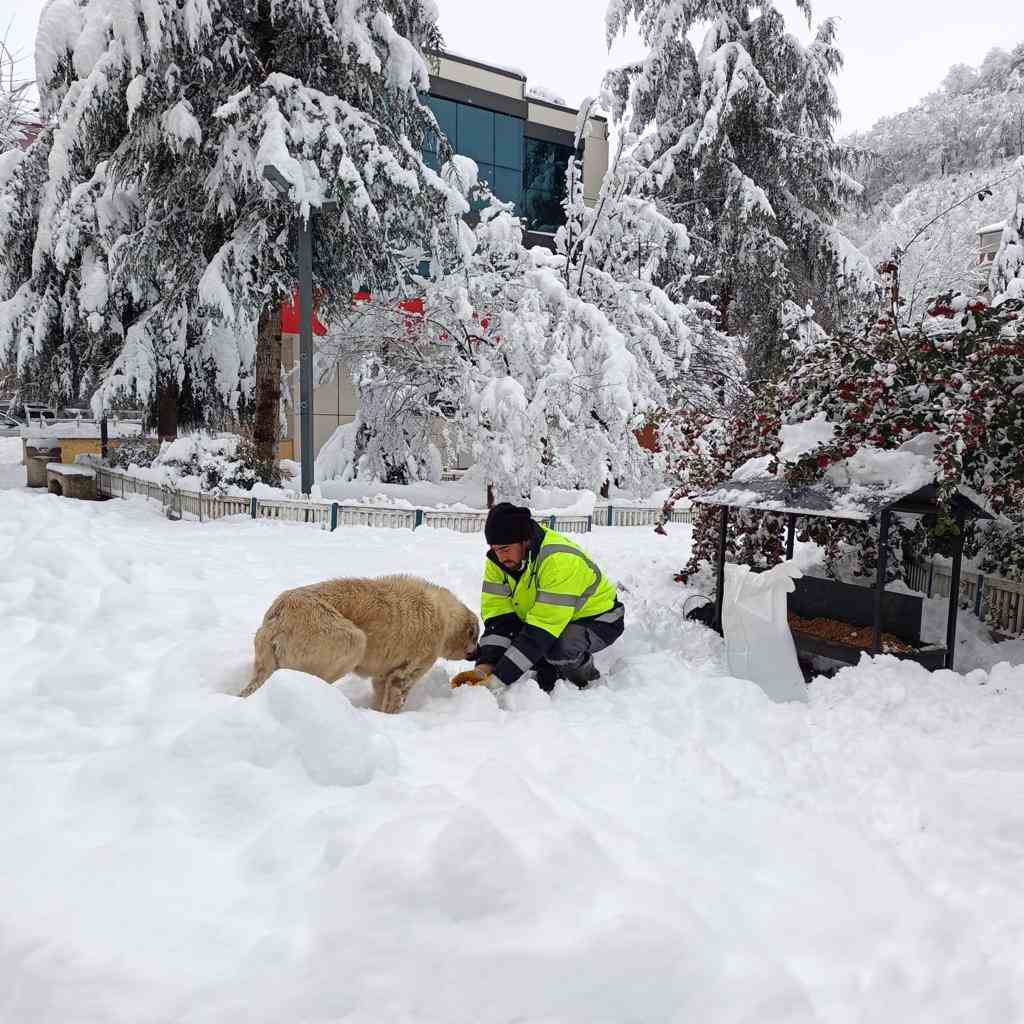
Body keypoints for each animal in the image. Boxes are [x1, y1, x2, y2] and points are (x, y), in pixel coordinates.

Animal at [242, 577, 479, 712]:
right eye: (475, 637)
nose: (477, 653)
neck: (445, 617)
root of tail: (279, 614)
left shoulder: (383, 677)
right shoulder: (406, 673)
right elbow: (395, 701)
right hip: (354, 641)